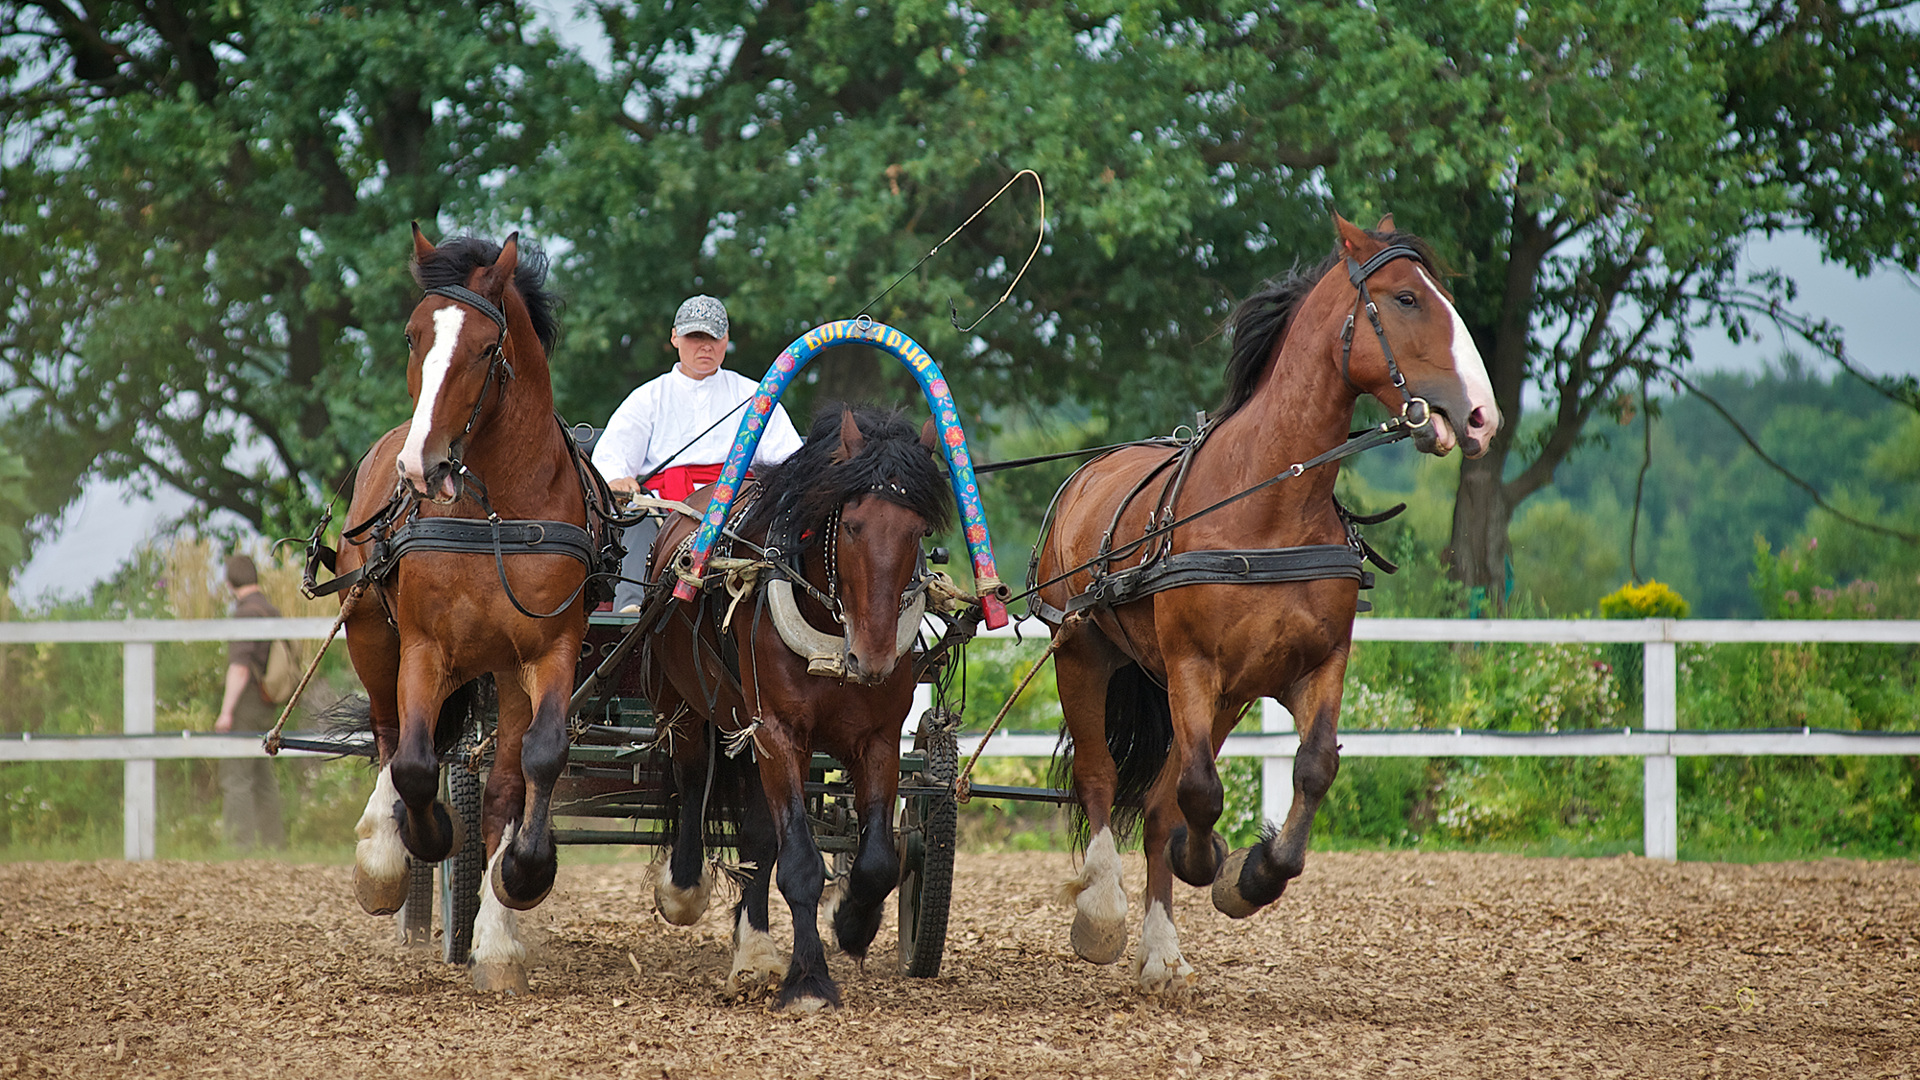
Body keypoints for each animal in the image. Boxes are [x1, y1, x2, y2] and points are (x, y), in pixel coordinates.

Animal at [334, 222, 595, 991]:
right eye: (414, 335)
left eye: (485, 349)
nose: (420, 466)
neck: (494, 514)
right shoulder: (426, 647)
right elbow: (417, 762)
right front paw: (419, 842)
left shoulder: (549, 650)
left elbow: (541, 758)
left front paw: (522, 877)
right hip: (371, 631)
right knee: (390, 737)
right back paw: (383, 853)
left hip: (502, 674)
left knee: (503, 777)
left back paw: (495, 935)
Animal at [1036, 212, 1497, 991]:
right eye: (1406, 299)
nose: (1482, 415)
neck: (1269, 503)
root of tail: (1088, 473)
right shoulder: (1192, 666)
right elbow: (1197, 793)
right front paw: (1207, 862)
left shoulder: (1315, 665)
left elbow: (1310, 769)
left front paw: (1249, 876)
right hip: (1086, 652)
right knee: (1101, 781)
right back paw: (1102, 912)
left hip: (1221, 697)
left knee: (1156, 804)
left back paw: (1162, 950)